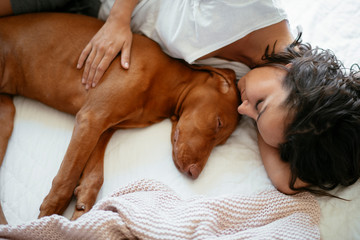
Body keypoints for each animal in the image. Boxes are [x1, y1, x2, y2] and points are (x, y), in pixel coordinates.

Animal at [0, 13, 242, 223]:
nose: (194, 173)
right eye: (218, 123)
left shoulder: (103, 128)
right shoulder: (91, 118)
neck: (166, 83)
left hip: (6, 117)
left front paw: (83, 207)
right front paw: (48, 219)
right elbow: (65, 179)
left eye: (221, 143)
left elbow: (94, 176)